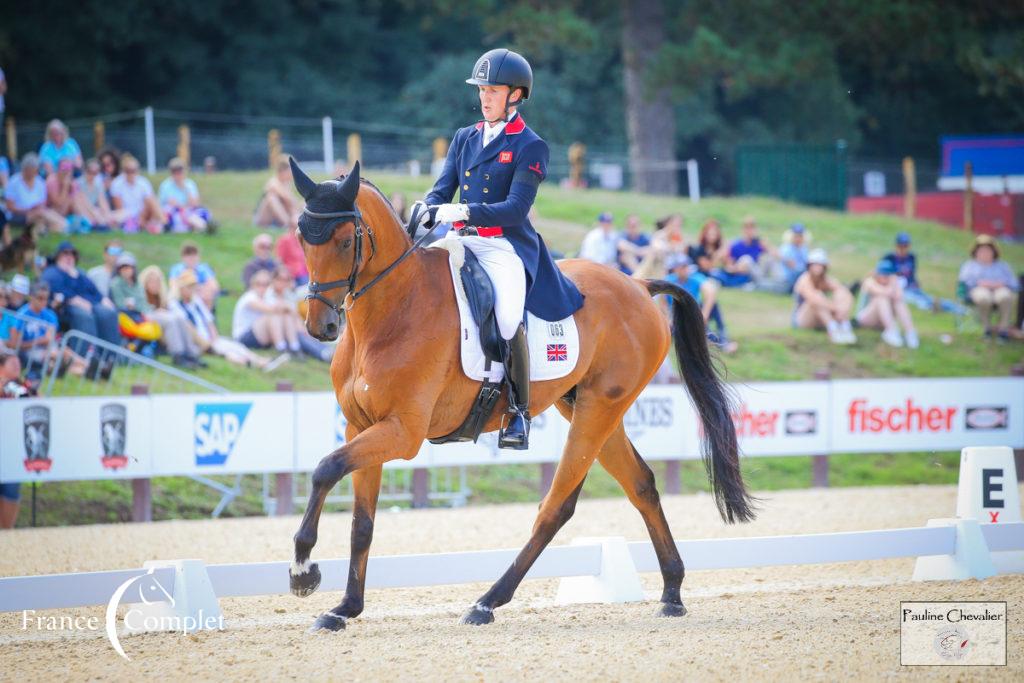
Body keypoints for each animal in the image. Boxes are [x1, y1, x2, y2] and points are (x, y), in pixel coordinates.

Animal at [284, 158, 757, 630]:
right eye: (301, 238)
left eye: (346, 240)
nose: (320, 327)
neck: (393, 311)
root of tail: (638, 285)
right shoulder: (359, 425)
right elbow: (361, 521)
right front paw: (344, 607)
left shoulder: (403, 432)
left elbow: (325, 469)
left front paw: (303, 570)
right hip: (587, 407)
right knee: (640, 484)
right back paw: (672, 591)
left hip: (599, 408)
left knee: (556, 507)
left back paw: (487, 601)